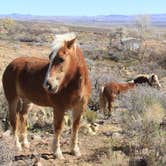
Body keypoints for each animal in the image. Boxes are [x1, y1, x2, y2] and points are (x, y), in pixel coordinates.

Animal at [1, 32, 91, 160]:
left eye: (61, 59)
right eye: (50, 57)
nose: (48, 85)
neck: (73, 84)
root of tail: (11, 64)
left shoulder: (80, 107)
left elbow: (75, 126)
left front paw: (74, 150)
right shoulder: (59, 108)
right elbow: (58, 127)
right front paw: (57, 152)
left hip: (27, 100)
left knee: (23, 116)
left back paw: (25, 143)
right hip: (12, 99)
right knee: (14, 120)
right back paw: (17, 146)